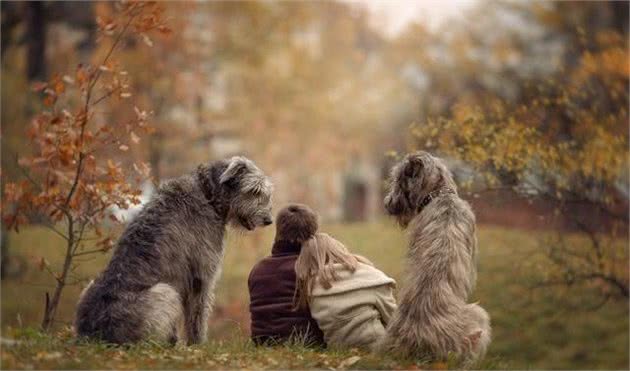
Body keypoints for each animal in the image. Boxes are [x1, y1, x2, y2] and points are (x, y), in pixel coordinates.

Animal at [75, 157, 272, 346]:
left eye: (266, 193)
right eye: (254, 191)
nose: (269, 220)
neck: (208, 193)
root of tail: (93, 333)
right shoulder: (201, 274)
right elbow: (198, 314)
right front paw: (198, 344)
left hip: (89, 286)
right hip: (165, 292)